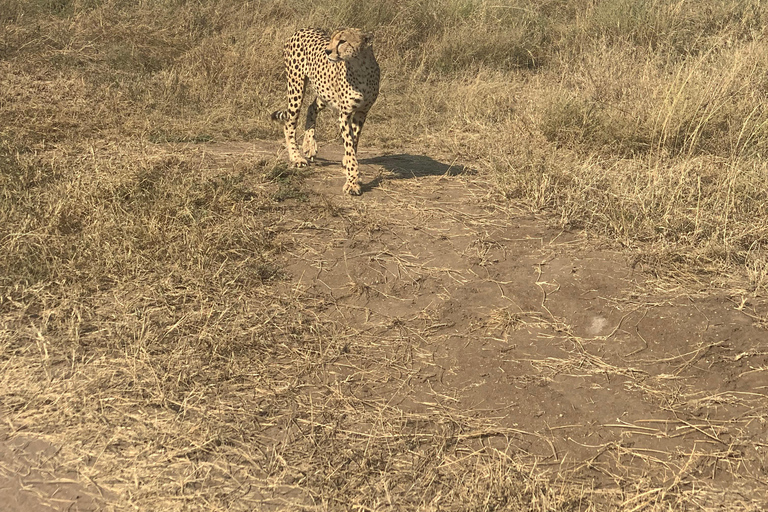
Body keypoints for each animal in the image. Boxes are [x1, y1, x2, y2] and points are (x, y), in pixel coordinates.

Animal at [272, 28, 380, 196]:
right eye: (332, 39)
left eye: (342, 41)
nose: (327, 51)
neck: (360, 67)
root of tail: (301, 29)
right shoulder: (345, 114)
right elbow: (349, 145)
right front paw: (352, 181)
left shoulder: (362, 112)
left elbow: (354, 142)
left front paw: (350, 168)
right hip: (296, 86)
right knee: (289, 123)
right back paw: (296, 157)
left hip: (325, 92)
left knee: (311, 108)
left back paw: (309, 145)